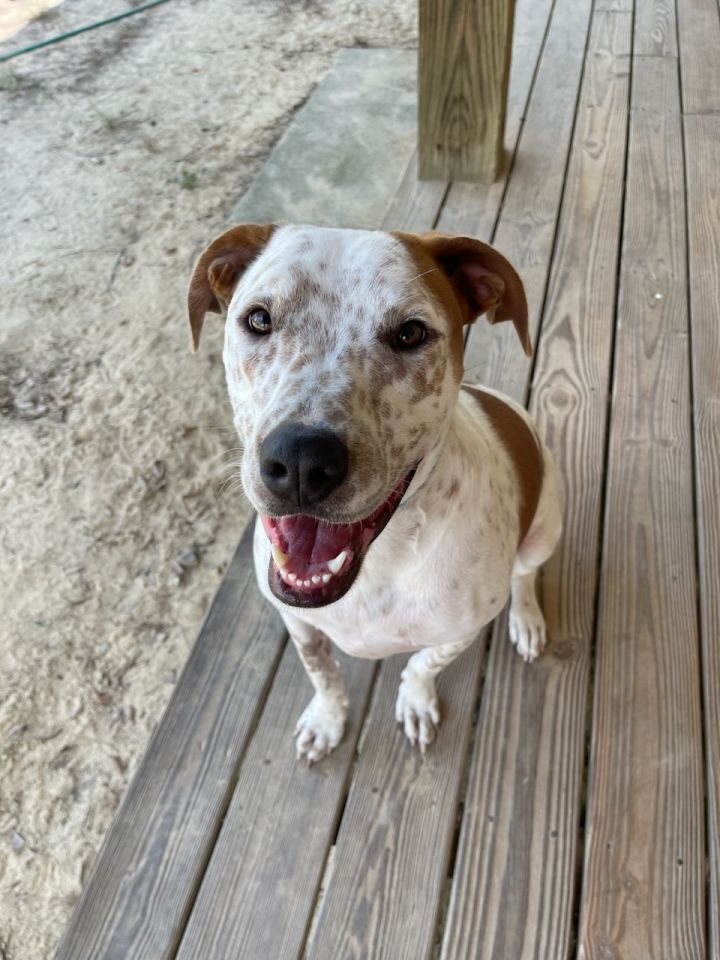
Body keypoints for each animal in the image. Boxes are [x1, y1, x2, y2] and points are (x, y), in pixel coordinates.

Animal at [190, 221, 564, 760]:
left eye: (410, 333)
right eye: (258, 319)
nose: (301, 459)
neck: (380, 565)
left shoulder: (462, 629)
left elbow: (423, 664)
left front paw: (415, 700)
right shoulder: (298, 624)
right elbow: (323, 674)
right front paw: (327, 719)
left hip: (546, 526)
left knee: (526, 576)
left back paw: (528, 619)